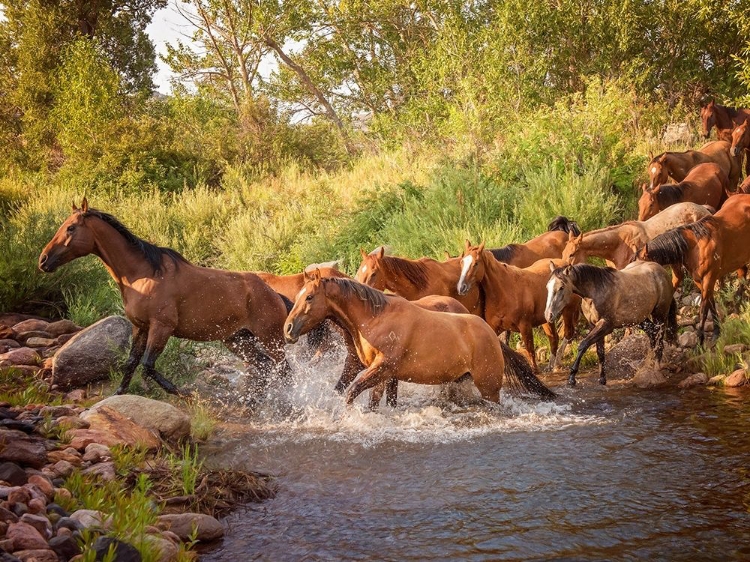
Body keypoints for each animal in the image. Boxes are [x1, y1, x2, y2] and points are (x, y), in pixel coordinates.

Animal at [39, 199, 294, 396]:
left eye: (71, 228)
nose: (43, 260)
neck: (143, 275)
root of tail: (274, 294)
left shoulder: (161, 327)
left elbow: (148, 365)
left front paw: (183, 393)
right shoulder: (140, 327)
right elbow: (131, 362)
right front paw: (118, 393)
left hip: (270, 339)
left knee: (284, 371)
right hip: (237, 339)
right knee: (264, 367)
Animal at [284, 270, 556, 402]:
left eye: (309, 297)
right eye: (298, 295)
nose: (287, 328)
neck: (374, 319)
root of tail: (490, 335)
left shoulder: (381, 369)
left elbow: (352, 393)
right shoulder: (384, 374)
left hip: (489, 388)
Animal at [458, 241, 580, 372]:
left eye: (476, 263)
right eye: (462, 261)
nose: (461, 287)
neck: (505, 290)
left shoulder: (525, 326)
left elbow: (530, 351)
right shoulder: (494, 327)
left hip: (568, 311)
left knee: (568, 333)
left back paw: (557, 363)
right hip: (547, 318)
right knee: (554, 338)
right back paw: (550, 366)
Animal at [544, 262, 680, 384]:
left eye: (561, 287)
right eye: (547, 287)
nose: (548, 315)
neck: (595, 292)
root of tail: (662, 271)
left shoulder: (606, 325)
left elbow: (583, 345)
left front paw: (572, 377)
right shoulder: (594, 325)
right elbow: (600, 351)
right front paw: (602, 379)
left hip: (660, 315)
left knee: (659, 337)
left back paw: (656, 366)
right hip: (638, 319)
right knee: (652, 334)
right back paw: (649, 365)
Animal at [636, 192, 750, 342]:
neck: (695, 247)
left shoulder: (709, 278)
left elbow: (703, 309)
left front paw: (700, 340)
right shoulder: (699, 280)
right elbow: (711, 304)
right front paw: (716, 331)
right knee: (742, 276)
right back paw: (737, 306)